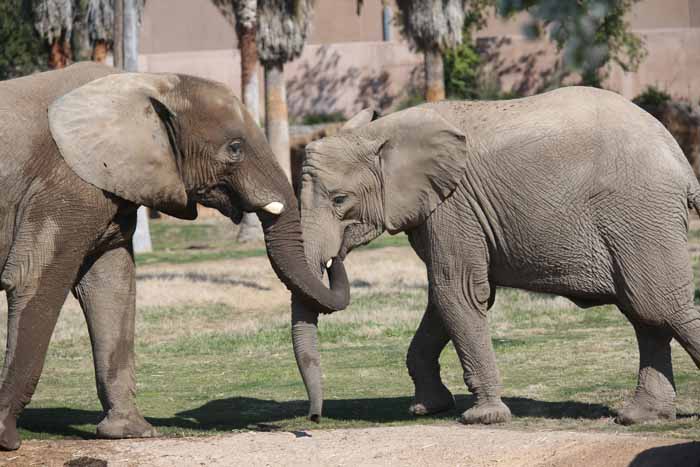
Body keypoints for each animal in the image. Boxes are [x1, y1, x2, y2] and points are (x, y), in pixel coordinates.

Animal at [0, 62, 349, 450]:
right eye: (235, 148)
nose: (312, 421)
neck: (144, 83)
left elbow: (112, 289)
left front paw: (131, 433)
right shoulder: (64, 184)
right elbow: (35, 280)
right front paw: (7, 439)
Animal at [290, 86, 700, 427]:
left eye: (339, 200)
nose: (314, 418)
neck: (381, 132)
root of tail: (680, 158)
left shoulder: (455, 207)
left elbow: (457, 292)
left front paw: (483, 418)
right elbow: (444, 300)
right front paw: (428, 409)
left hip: (639, 213)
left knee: (660, 306)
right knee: (645, 313)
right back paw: (640, 417)